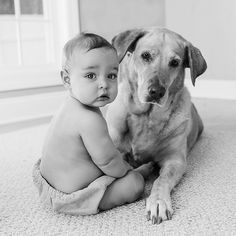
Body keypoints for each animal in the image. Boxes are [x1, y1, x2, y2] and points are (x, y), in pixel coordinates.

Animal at [105, 27, 206, 223]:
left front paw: (158, 201)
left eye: (175, 62)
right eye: (145, 56)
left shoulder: (175, 161)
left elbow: (161, 180)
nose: (156, 92)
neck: (146, 116)